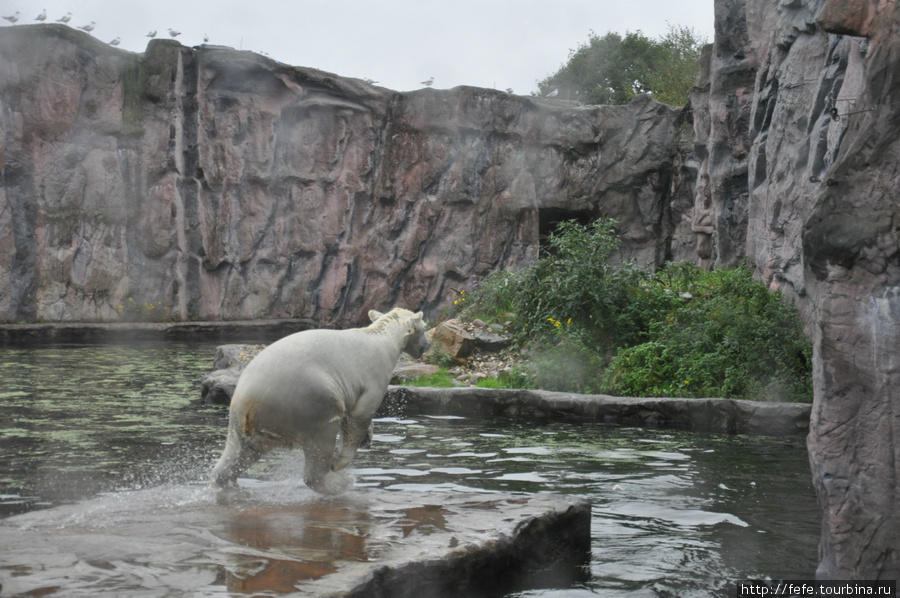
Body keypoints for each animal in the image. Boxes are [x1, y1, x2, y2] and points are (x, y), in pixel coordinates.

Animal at [214, 310, 432, 496]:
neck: (383, 337)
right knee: (321, 438)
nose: (429, 344)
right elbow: (359, 416)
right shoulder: (376, 374)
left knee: (242, 450)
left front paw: (368, 438)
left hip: (246, 420)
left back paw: (227, 483)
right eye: (425, 326)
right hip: (308, 399)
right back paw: (342, 481)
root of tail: (246, 402)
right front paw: (340, 460)